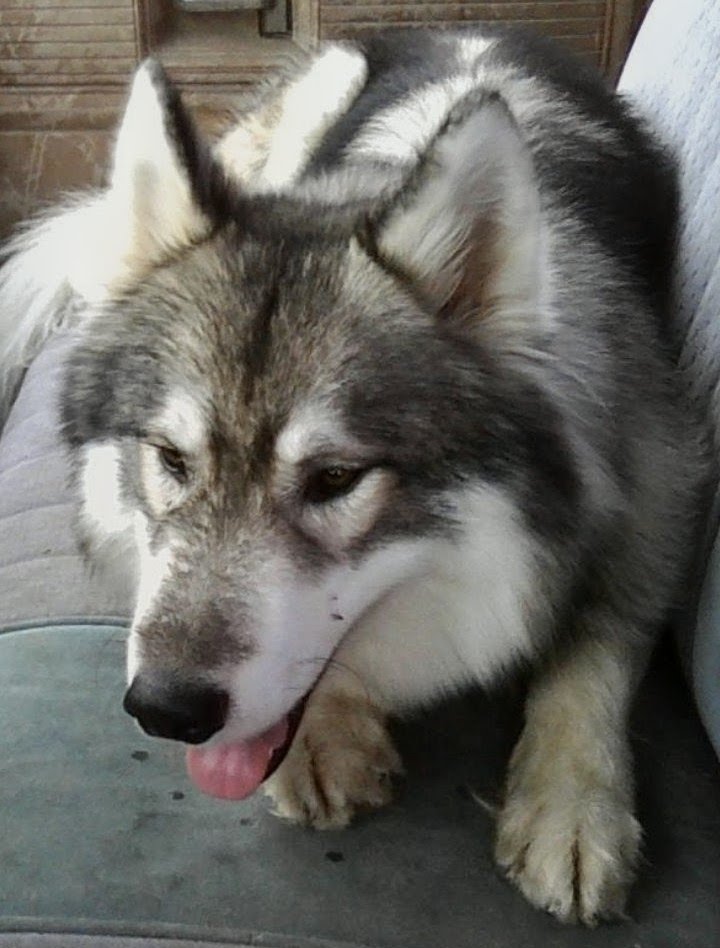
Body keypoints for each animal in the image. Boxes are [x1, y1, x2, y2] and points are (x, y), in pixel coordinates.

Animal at [0, 26, 710, 925]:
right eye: (171, 460)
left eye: (335, 478)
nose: (164, 709)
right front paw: (324, 733)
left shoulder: (659, 486)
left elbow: (597, 650)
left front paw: (572, 808)